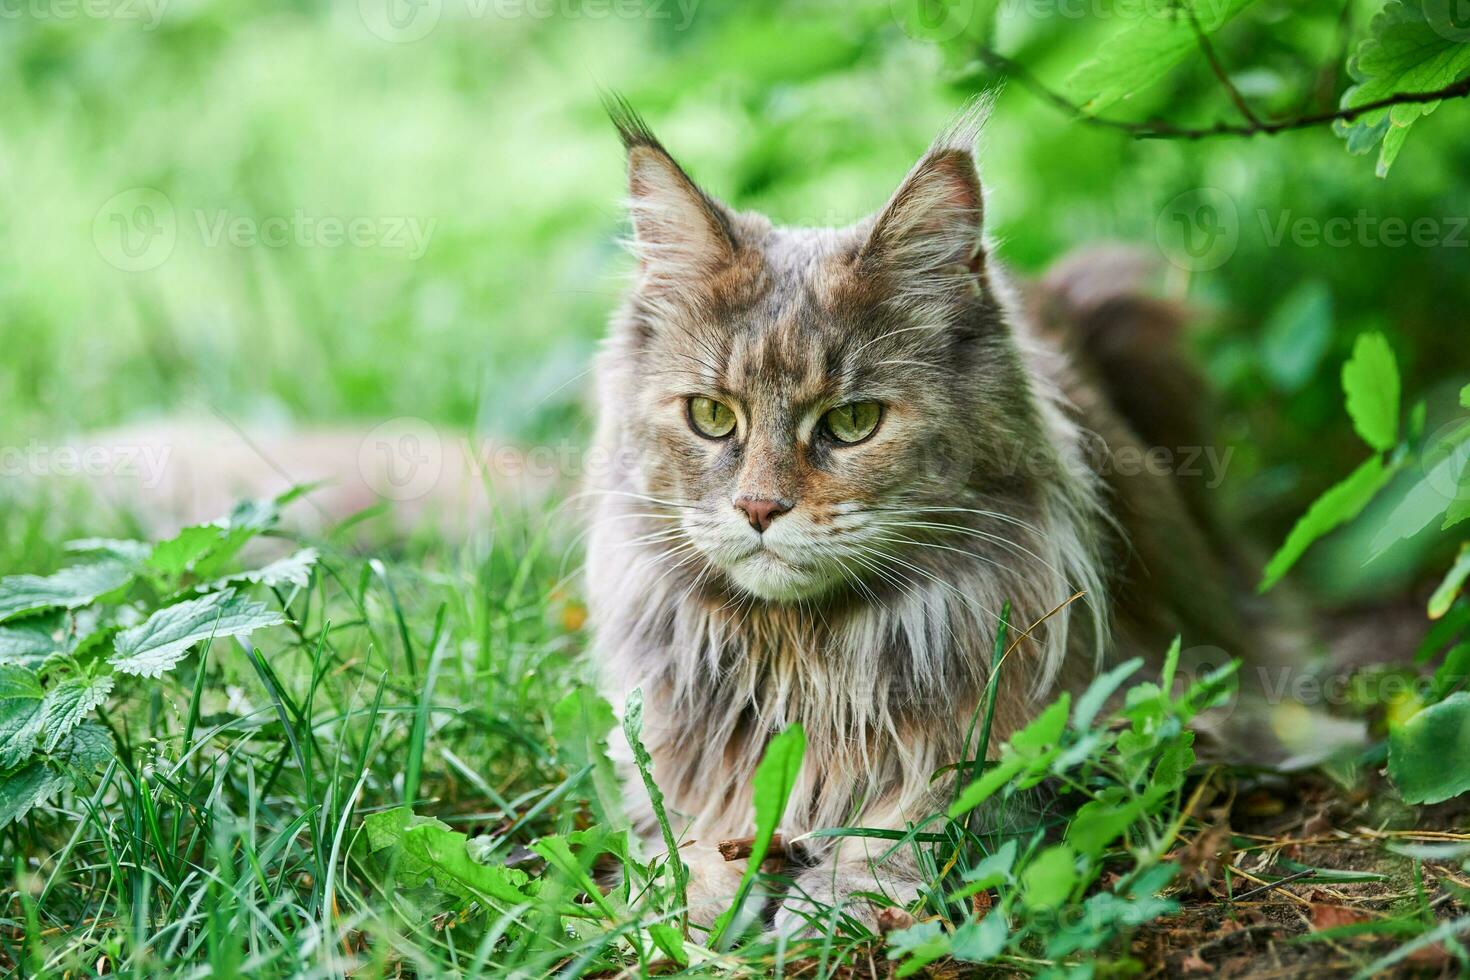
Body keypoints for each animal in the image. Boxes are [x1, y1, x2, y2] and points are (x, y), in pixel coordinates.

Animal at [585, 99, 1275, 934]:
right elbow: (685, 825)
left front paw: (841, 894)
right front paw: (680, 907)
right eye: (713, 416)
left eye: (852, 423)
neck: (807, 659)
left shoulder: (1086, 720)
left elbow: (936, 806)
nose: (757, 507)